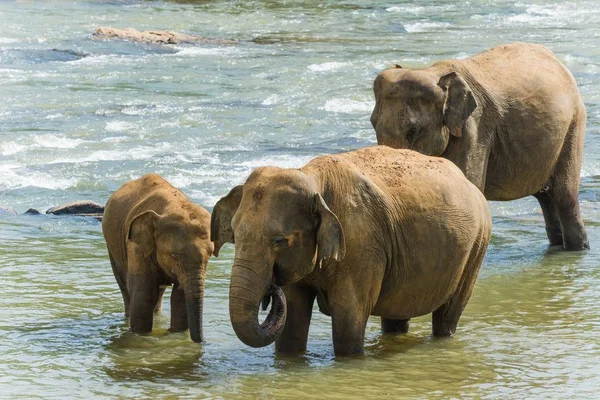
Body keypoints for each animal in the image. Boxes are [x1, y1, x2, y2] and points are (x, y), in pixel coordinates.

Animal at [102, 173, 213, 342]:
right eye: (174, 256)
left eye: (210, 254)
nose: (203, 341)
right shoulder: (136, 247)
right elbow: (143, 296)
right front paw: (141, 336)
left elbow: (180, 297)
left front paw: (176, 333)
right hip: (112, 246)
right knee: (126, 288)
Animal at [211, 146, 492, 356]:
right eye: (234, 234)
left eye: (280, 240)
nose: (270, 289)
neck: (313, 178)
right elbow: (292, 322)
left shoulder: (362, 244)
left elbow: (348, 324)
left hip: (477, 246)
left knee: (448, 314)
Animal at [372, 43, 588, 250]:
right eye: (372, 123)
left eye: (413, 131)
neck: (433, 72)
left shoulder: (475, 127)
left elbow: (470, 182)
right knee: (545, 197)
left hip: (574, 124)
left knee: (563, 195)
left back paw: (576, 249)